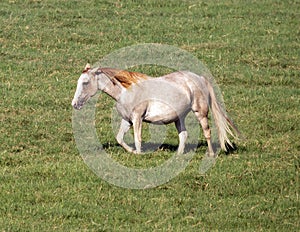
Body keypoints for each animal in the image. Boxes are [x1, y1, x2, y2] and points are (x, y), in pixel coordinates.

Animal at [72, 64, 239, 157]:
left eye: (85, 82)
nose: (74, 104)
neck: (126, 91)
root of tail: (200, 78)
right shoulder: (127, 120)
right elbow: (120, 138)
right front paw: (132, 151)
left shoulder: (137, 118)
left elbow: (138, 139)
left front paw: (139, 154)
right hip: (179, 118)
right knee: (183, 134)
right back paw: (178, 155)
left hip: (200, 112)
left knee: (207, 132)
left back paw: (210, 154)